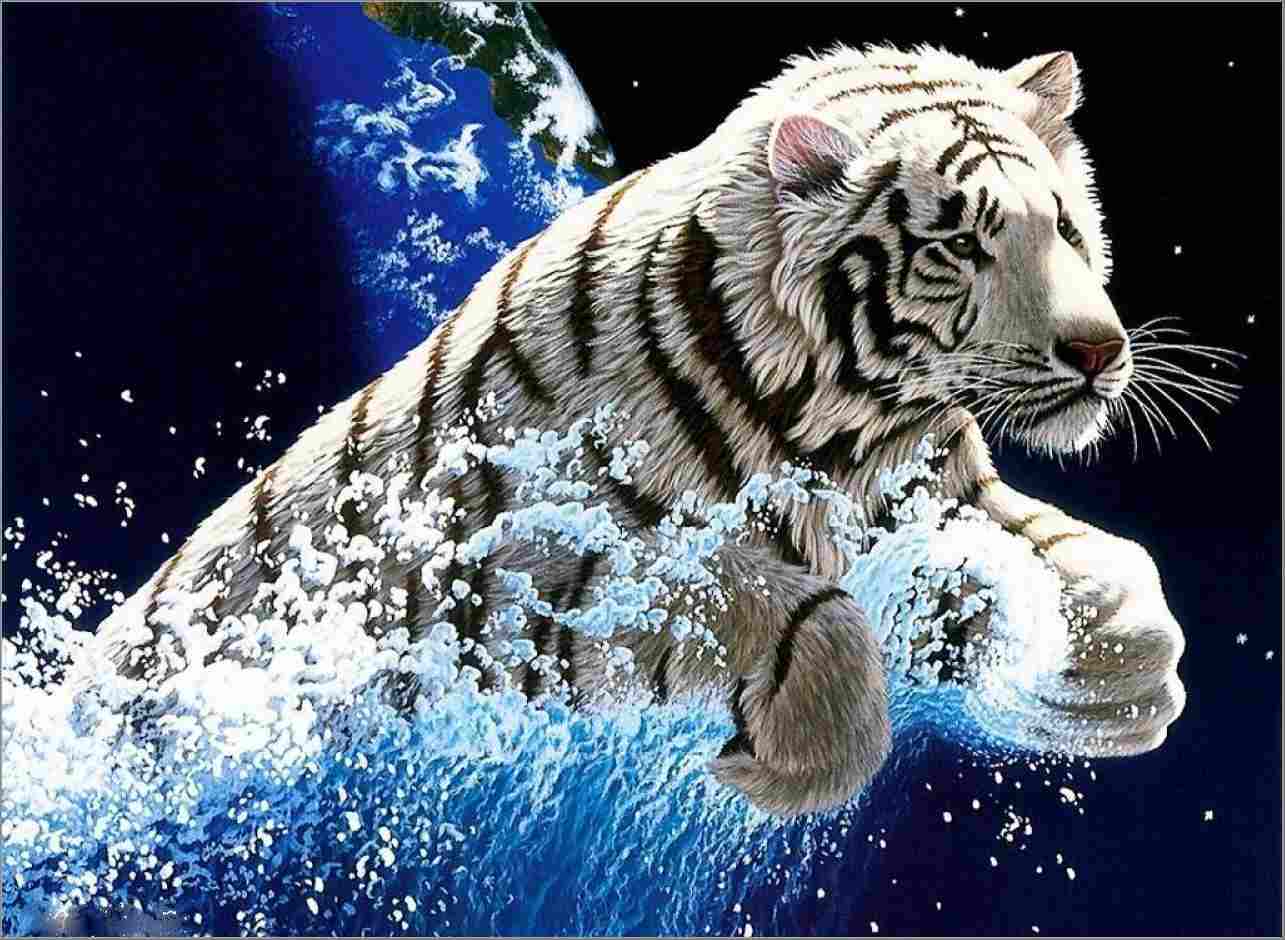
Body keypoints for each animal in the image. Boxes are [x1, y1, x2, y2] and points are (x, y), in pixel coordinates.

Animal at [83, 44, 1186, 817]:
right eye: (958, 244)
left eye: (1066, 228)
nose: (1098, 350)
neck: (851, 425)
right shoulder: (523, 584)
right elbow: (796, 610)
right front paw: (778, 766)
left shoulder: (938, 491)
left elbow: (1105, 564)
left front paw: (1117, 677)